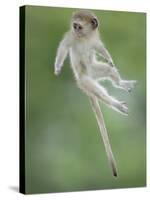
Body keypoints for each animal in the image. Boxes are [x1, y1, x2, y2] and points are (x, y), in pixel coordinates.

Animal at [54, 10, 137, 177]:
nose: (76, 30)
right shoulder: (70, 37)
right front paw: (58, 66)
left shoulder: (94, 39)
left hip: (94, 70)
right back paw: (116, 104)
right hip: (85, 81)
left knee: (109, 70)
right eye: (75, 26)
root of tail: (86, 76)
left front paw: (109, 58)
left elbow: (99, 47)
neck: (84, 37)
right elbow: (64, 47)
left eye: (79, 26)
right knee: (99, 92)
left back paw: (121, 83)